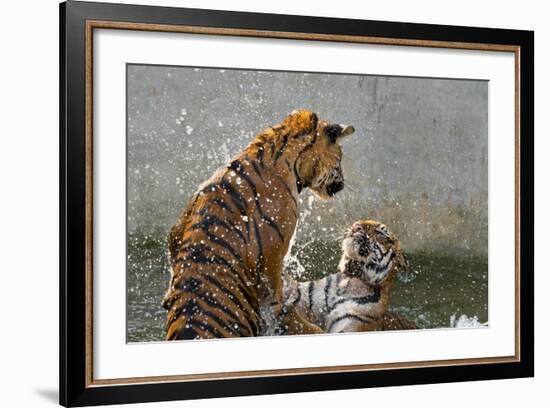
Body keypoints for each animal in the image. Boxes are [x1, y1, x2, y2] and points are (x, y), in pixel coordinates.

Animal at [284, 222, 418, 334]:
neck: (349, 279)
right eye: (359, 222)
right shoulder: (304, 293)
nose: (356, 226)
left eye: (379, 233)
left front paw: (287, 312)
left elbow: (307, 327)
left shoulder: (350, 326)